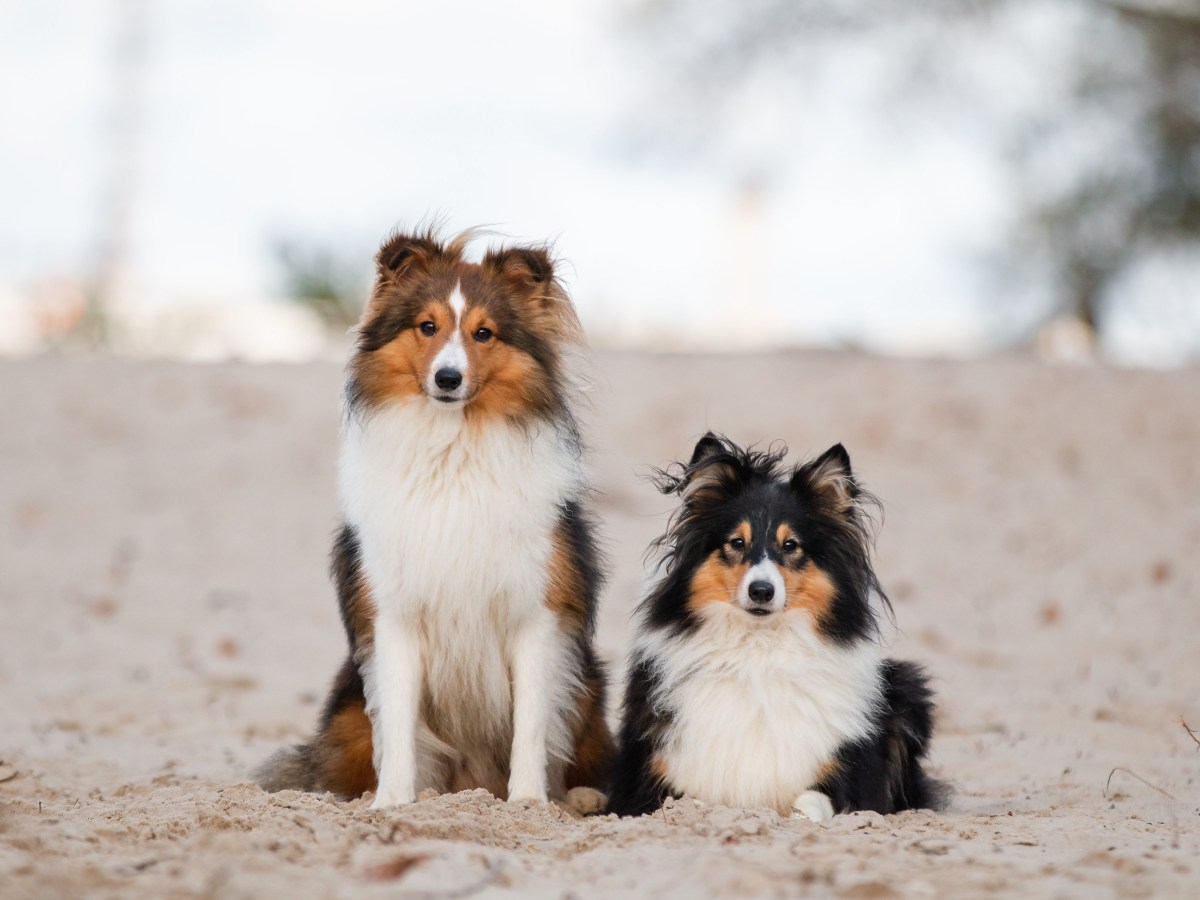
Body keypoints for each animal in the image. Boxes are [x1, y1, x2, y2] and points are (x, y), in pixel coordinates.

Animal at [253, 229, 609, 806]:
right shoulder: (393, 614)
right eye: (427, 326)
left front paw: (528, 803)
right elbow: (398, 723)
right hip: (350, 705)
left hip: (587, 679)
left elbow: (532, 725)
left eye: (484, 333)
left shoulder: (538, 615)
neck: (452, 452)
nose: (447, 378)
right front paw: (392, 803)